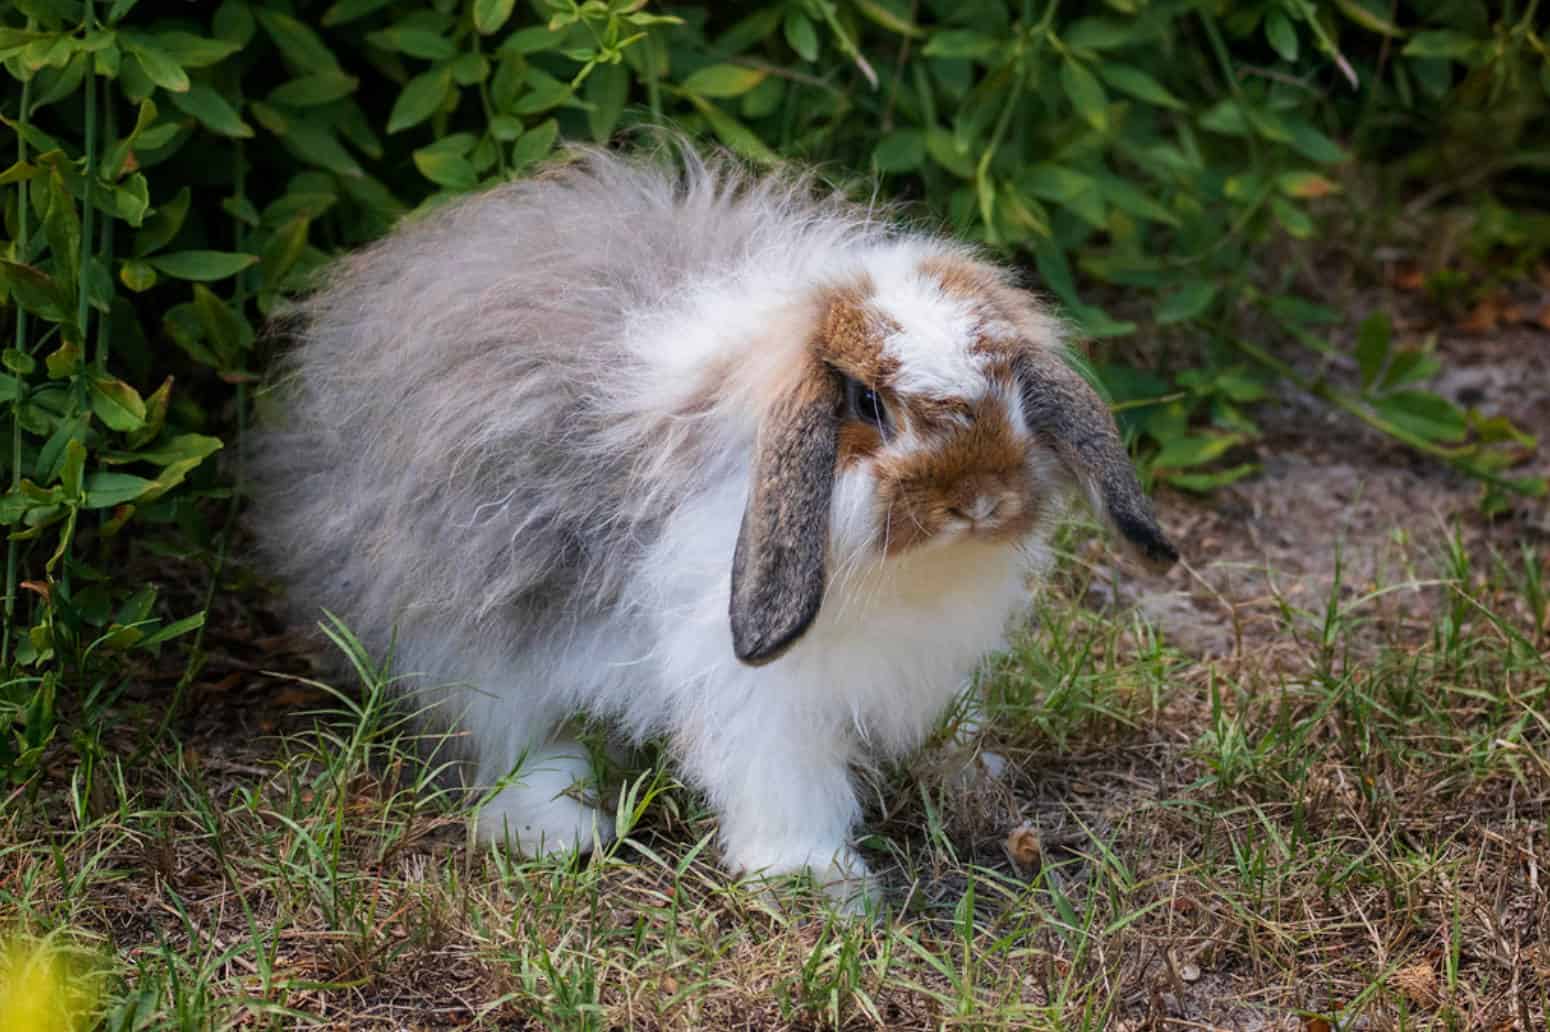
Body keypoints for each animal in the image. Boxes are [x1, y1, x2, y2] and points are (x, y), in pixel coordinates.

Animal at [251, 141, 1171, 904]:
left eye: (1012, 386)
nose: (978, 500)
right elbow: (782, 781)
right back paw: (559, 830)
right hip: (471, 629)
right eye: (867, 403)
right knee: (508, 739)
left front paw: (974, 778)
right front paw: (818, 884)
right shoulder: (755, 688)